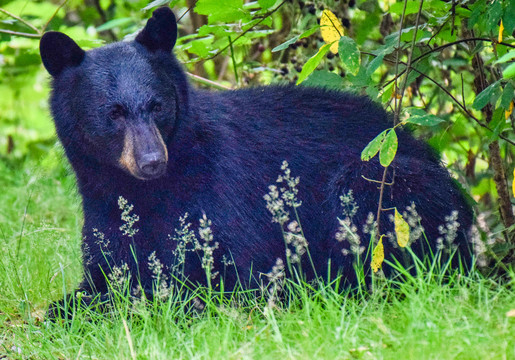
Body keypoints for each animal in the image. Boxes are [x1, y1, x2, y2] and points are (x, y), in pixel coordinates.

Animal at [40, 7, 474, 300]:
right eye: (113, 113)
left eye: (157, 106)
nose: (152, 162)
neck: (143, 191)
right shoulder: (104, 208)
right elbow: (106, 272)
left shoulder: (223, 191)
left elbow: (237, 268)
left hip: (387, 178)